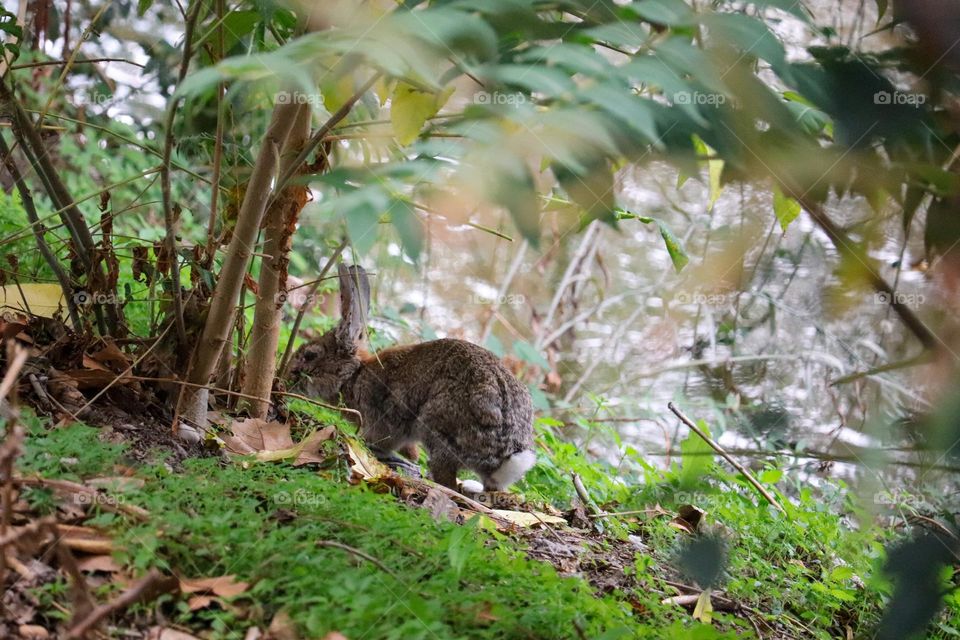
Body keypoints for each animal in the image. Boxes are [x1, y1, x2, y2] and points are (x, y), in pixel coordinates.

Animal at [288, 262, 536, 492]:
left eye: (310, 355)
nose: (288, 375)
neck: (354, 374)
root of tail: (506, 454)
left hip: (439, 426)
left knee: (445, 477)